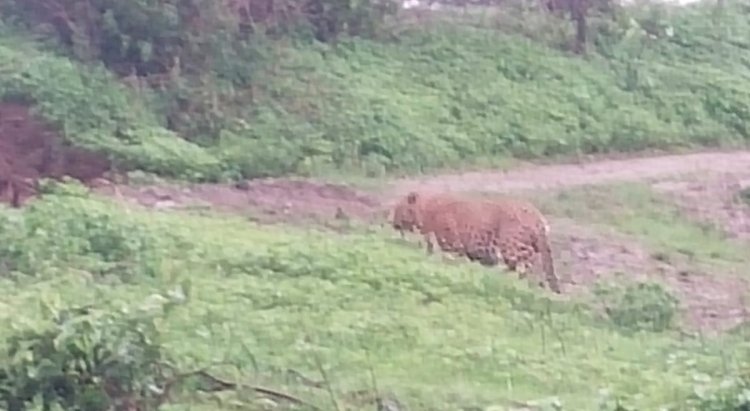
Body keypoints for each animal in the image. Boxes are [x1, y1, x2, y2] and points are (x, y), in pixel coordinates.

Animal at [394, 192, 560, 294]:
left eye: (398, 208)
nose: (393, 223)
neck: (426, 209)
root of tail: (537, 215)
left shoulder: (452, 243)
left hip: (510, 244)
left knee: (525, 262)